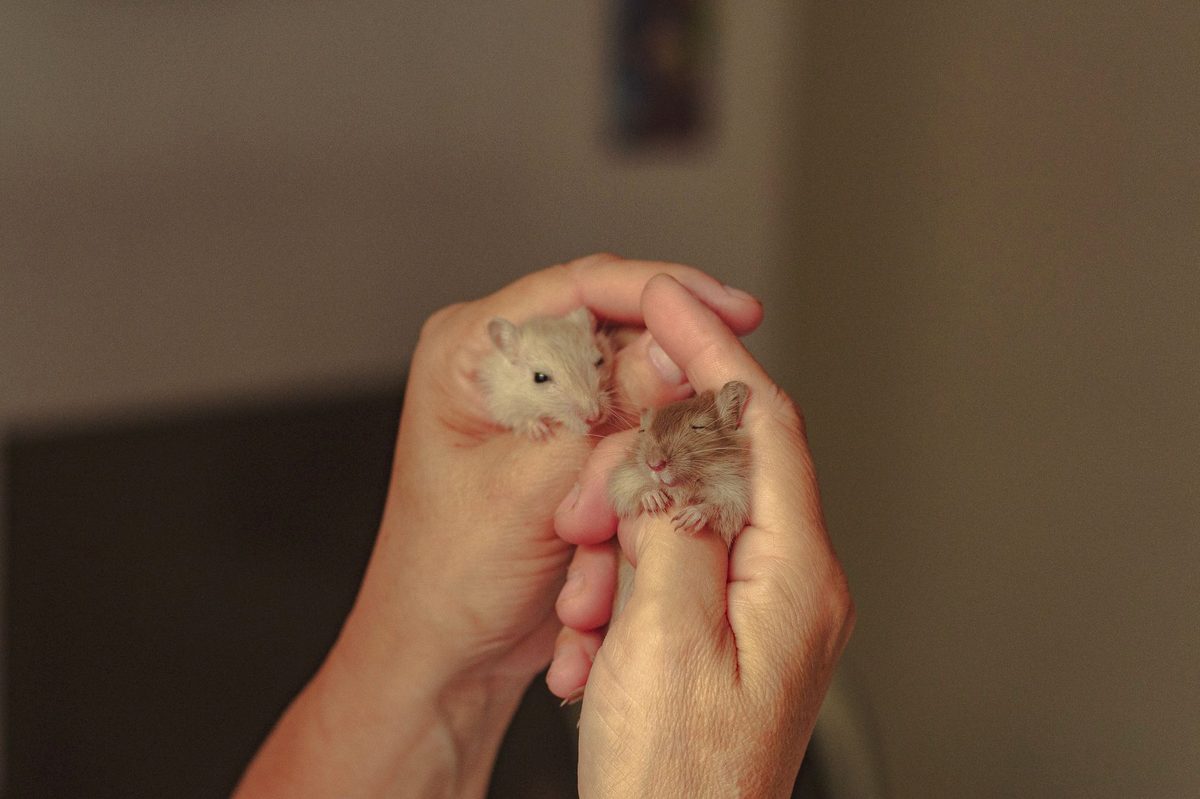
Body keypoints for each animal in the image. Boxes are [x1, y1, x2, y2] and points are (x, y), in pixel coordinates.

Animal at [608, 380, 751, 546]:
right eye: (642, 431)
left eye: (699, 426)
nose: (655, 465)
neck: (682, 486)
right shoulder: (625, 481)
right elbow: (635, 489)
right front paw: (655, 500)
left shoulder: (734, 495)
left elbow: (718, 507)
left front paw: (686, 519)